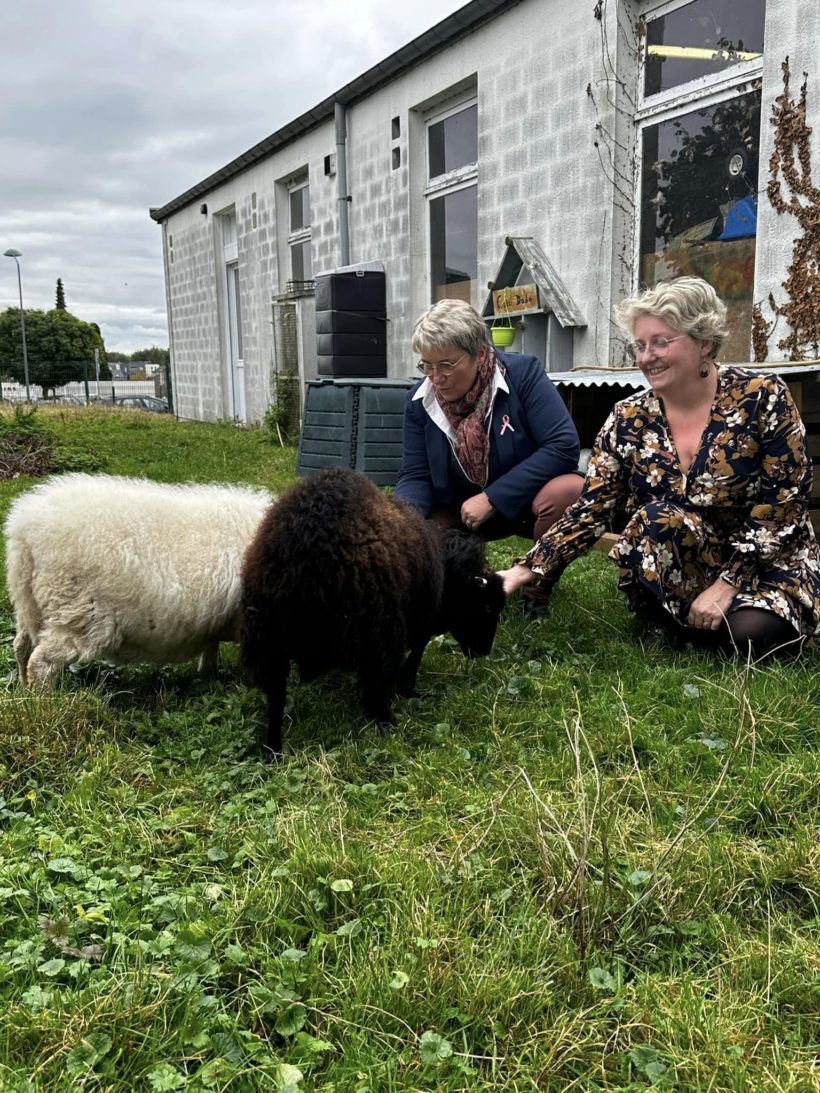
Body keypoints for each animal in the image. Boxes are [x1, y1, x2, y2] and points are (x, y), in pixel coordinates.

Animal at [4, 474, 274, 686]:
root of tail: (24, 528)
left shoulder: (218, 619)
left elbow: (211, 649)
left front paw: (208, 678)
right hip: (76, 611)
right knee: (41, 661)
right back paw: (44, 701)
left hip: (30, 603)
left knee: (21, 647)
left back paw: (25, 694)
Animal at [239, 465, 507, 756]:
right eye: (486, 606)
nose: (483, 651)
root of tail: (302, 549)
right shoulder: (420, 621)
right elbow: (415, 655)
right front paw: (409, 690)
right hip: (377, 631)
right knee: (375, 690)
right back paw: (390, 725)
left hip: (266, 639)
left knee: (275, 700)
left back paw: (273, 751)